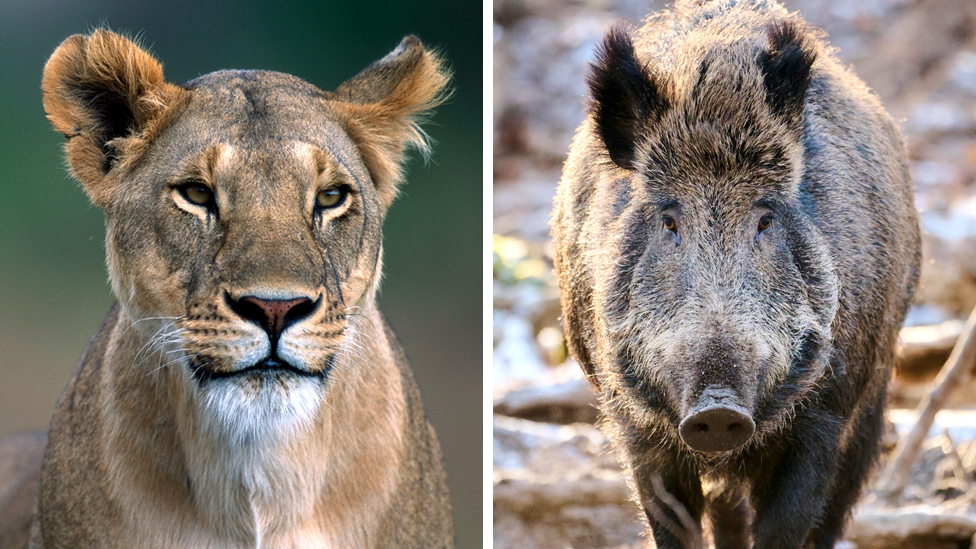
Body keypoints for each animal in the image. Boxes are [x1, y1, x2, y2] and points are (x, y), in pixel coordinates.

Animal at [550, 1, 921, 547]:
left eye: (764, 220)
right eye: (669, 221)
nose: (718, 410)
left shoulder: (826, 414)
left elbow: (789, 523)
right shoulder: (631, 420)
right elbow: (670, 520)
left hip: (874, 394)